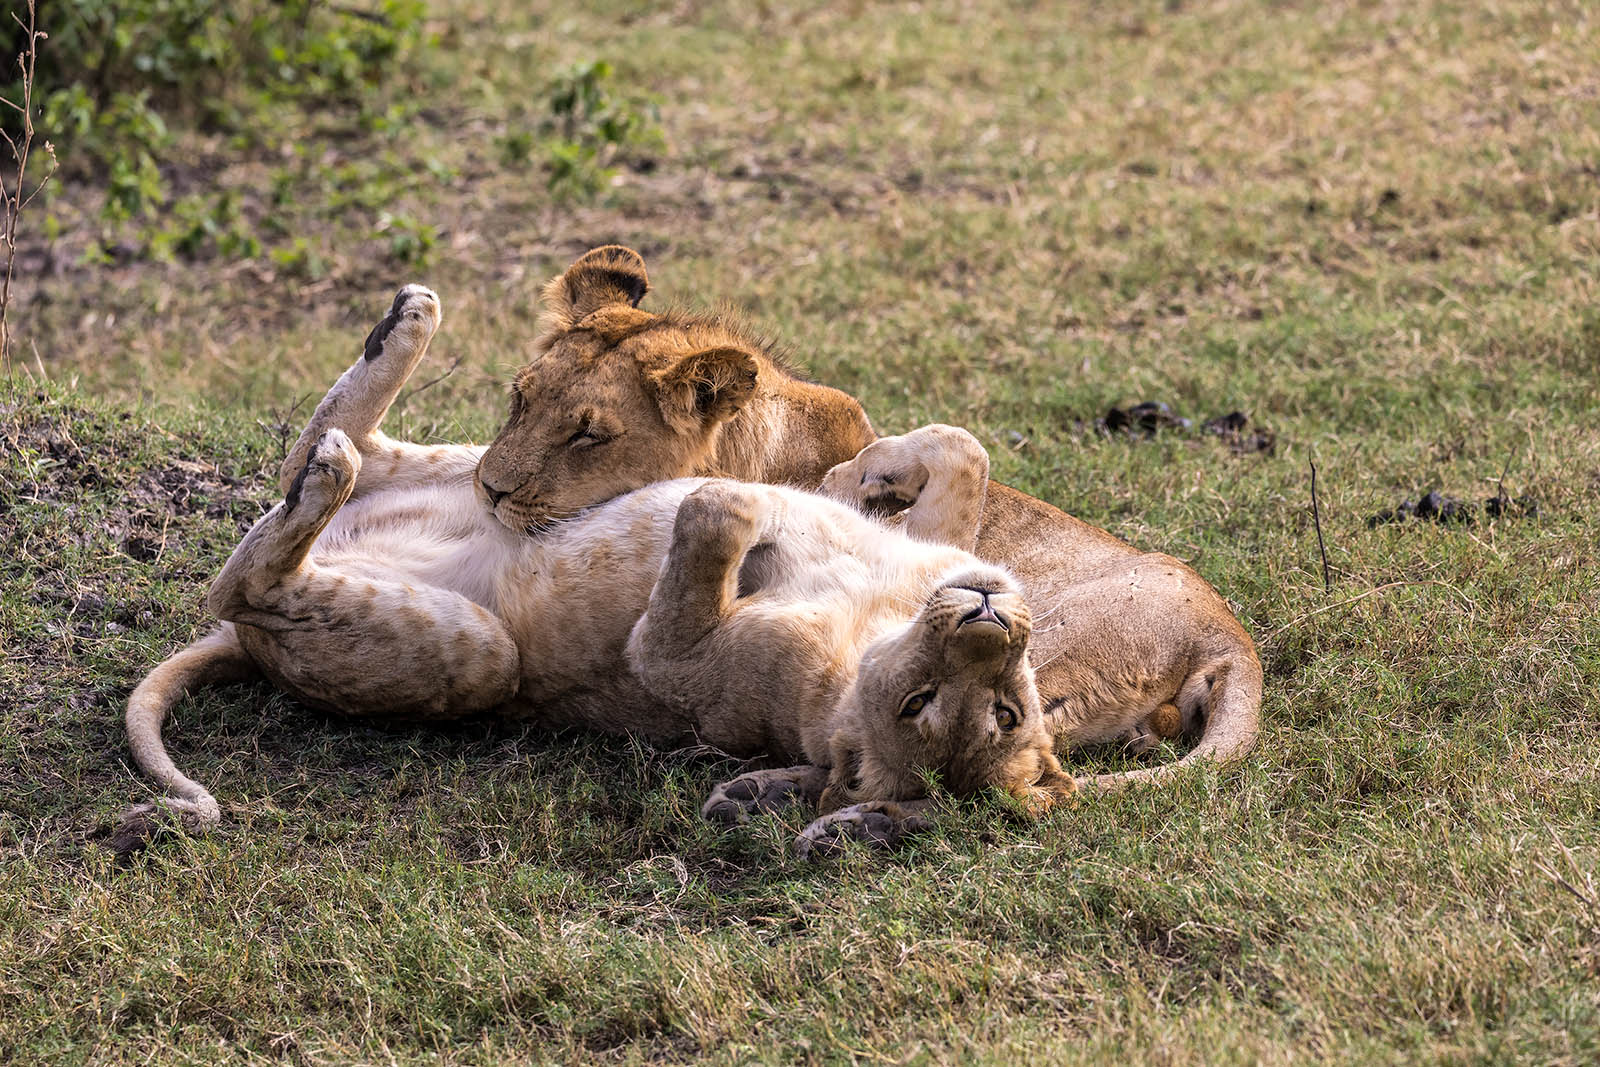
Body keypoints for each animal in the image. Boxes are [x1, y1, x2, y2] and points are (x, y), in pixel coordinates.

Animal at [124, 281, 1075, 851]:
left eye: (991, 711)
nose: (986, 619)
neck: (883, 613)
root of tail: (239, 648)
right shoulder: (946, 549)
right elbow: (965, 447)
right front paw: (862, 475)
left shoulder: (682, 662)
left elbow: (710, 520)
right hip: (457, 472)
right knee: (324, 450)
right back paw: (404, 323)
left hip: (478, 651)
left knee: (248, 575)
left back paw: (330, 473)